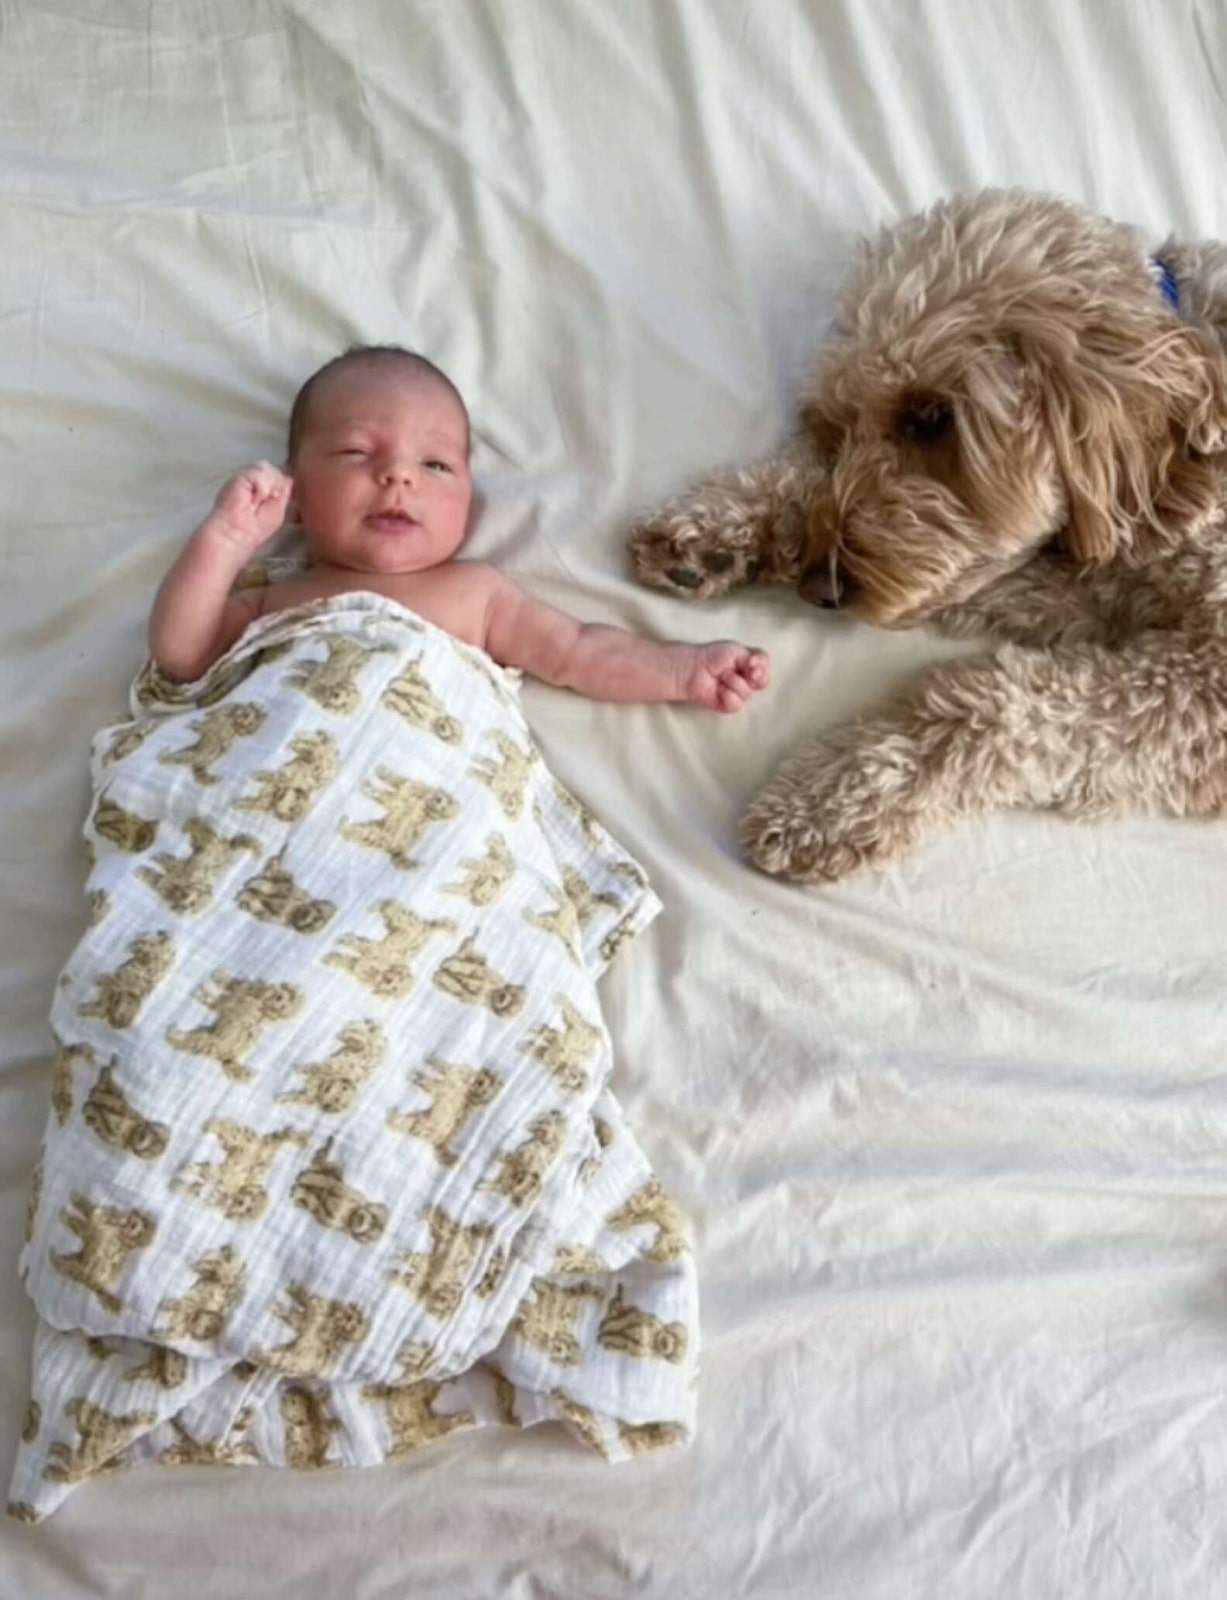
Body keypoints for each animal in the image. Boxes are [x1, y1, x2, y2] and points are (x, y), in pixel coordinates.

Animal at [627, 195, 1227, 889]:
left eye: (932, 416)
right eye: (839, 423)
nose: (818, 587)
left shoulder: (1207, 687)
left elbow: (1001, 705)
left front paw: (827, 801)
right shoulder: (1101, 573)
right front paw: (723, 531)